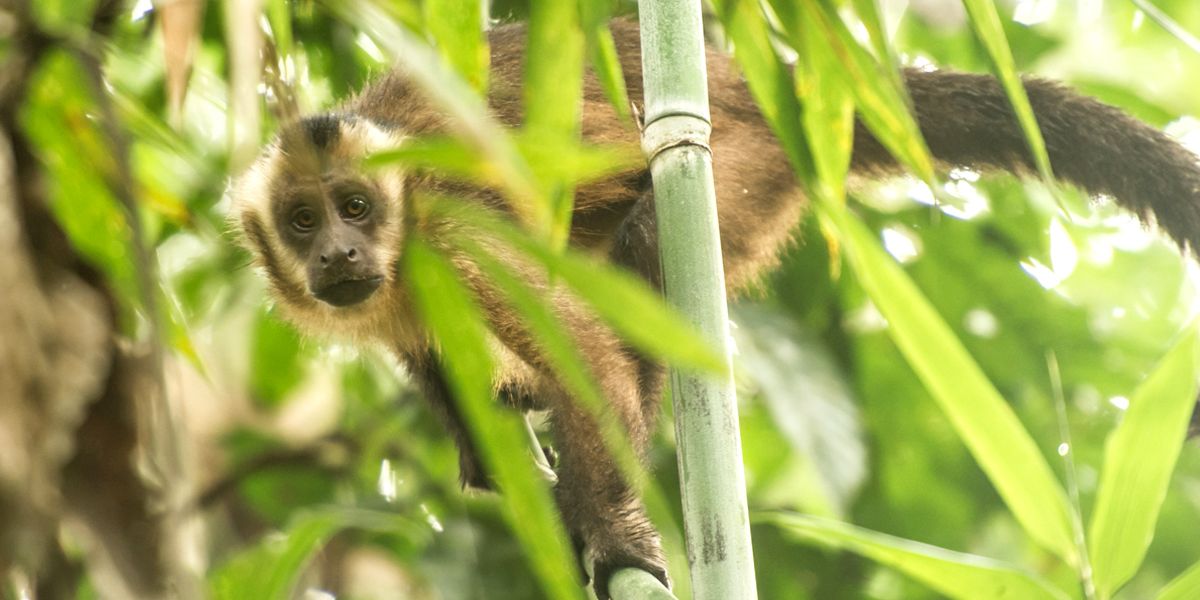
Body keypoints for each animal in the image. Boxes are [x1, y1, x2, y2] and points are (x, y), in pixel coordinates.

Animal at [229, 17, 1200, 600]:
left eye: (357, 207)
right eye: (304, 220)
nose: (339, 253)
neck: (399, 253)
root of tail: (766, 98)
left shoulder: (453, 238)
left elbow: (588, 359)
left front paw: (614, 536)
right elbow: (438, 360)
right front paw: (481, 436)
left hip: (738, 166)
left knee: (650, 250)